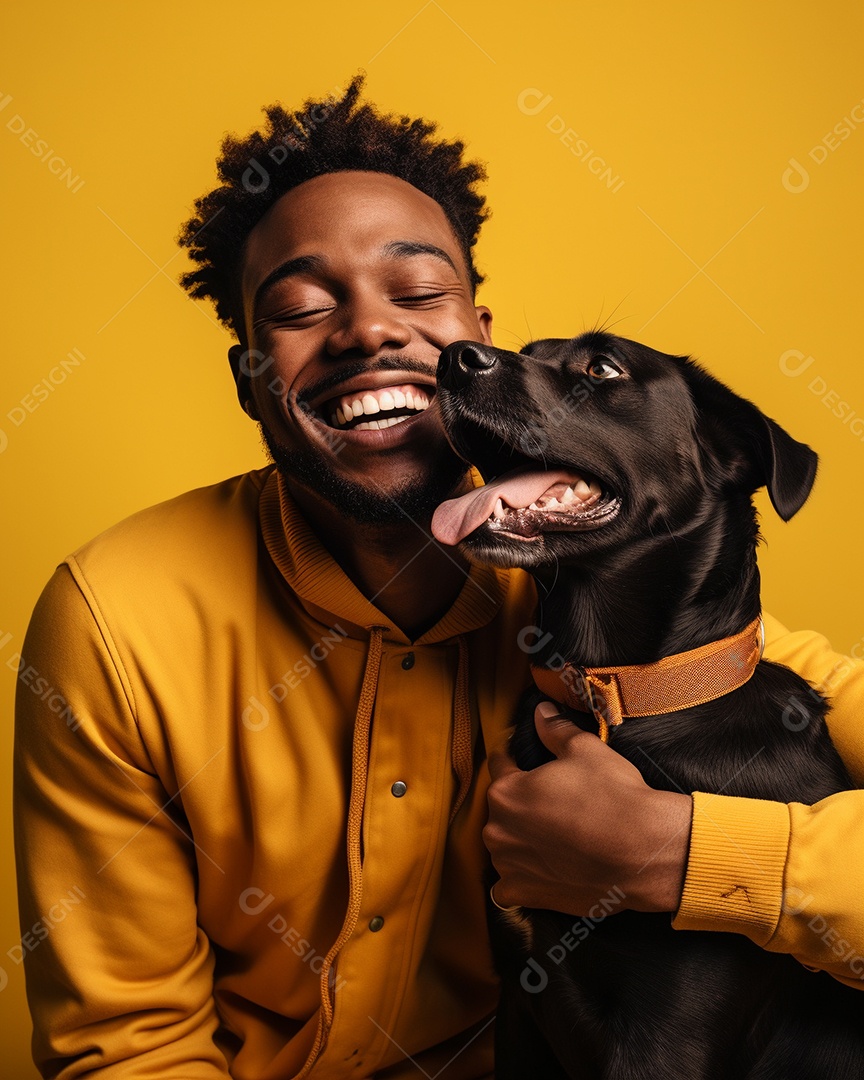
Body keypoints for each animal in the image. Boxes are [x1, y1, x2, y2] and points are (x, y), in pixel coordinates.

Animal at [432, 332, 864, 1080]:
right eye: (529, 349)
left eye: (603, 369)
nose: (453, 357)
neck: (626, 693)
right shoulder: (517, 1007)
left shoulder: (666, 1039)